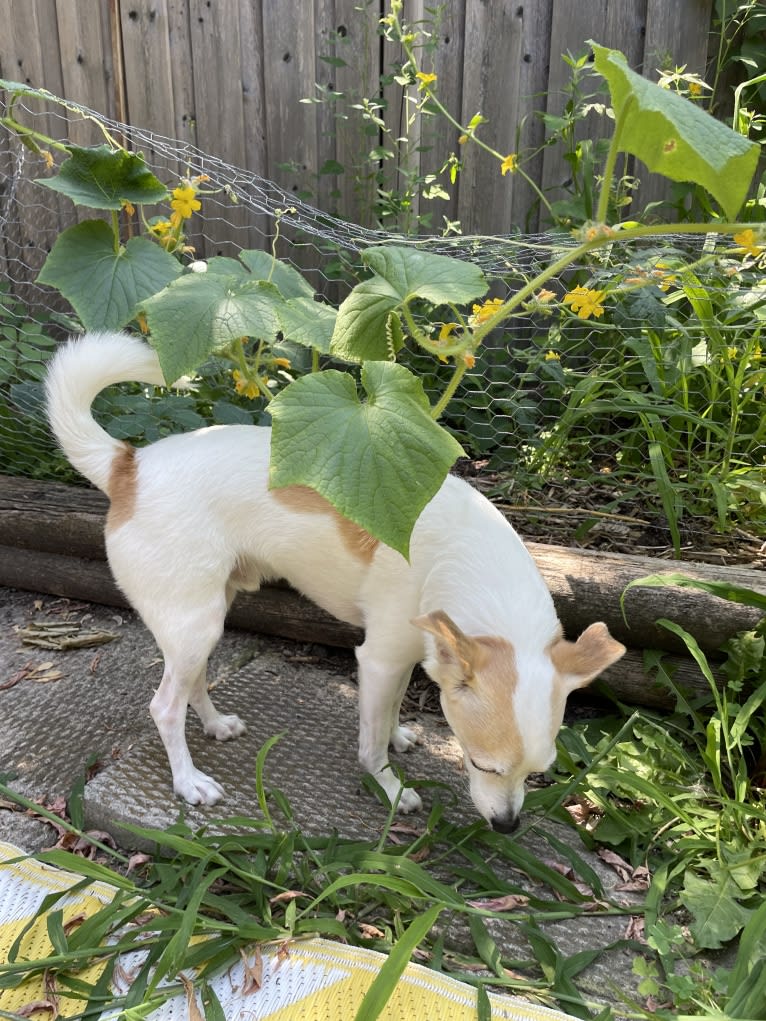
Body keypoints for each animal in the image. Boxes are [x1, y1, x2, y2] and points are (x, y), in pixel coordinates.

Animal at [44, 330, 625, 833]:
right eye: (482, 765)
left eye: (539, 773)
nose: (507, 826)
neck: (466, 558)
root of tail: (129, 465)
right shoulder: (379, 659)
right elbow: (369, 744)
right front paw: (390, 788)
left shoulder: (406, 656)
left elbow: (389, 713)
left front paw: (398, 735)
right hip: (194, 622)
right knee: (164, 705)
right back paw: (189, 782)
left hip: (207, 617)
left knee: (194, 681)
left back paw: (214, 725)